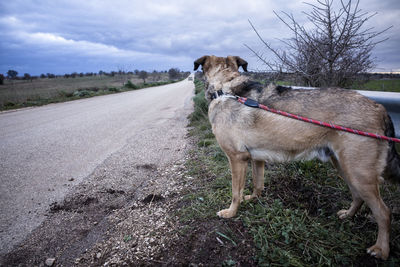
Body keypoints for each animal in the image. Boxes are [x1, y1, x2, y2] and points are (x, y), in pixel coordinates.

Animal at [194, 55, 400, 260]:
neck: (224, 87)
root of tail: (380, 108)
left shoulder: (237, 158)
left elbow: (235, 192)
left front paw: (231, 212)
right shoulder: (255, 158)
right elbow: (258, 184)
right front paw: (253, 199)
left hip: (359, 173)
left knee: (384, 212)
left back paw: (381, 249)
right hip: (345, 167)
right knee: (358, 197)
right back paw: (348, 215)